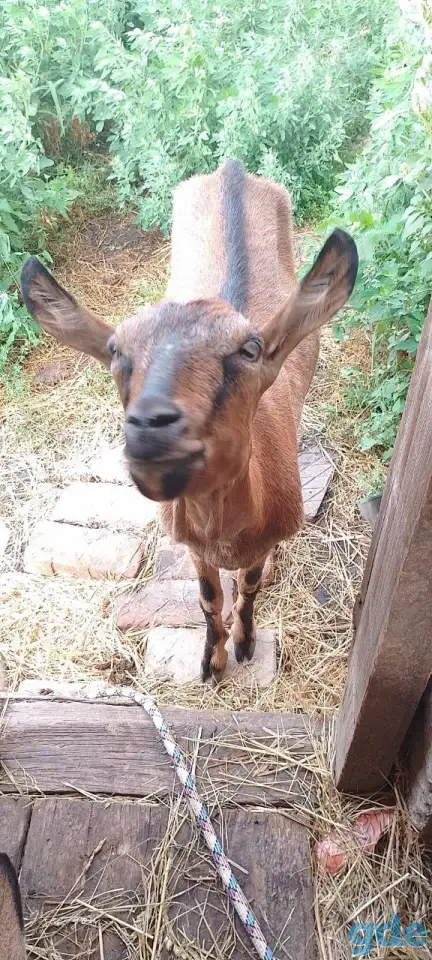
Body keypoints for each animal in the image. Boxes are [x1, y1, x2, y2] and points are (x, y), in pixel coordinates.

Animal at [21, 160, 358, 683]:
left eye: (251, 349)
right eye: (115, 352)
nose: (151, 426)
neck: (226, 534)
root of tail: (232, 167)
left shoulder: (260, 545)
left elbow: (249, 587)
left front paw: (244, 646)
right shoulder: (193, 546)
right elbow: (207, 597)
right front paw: (211, 662)